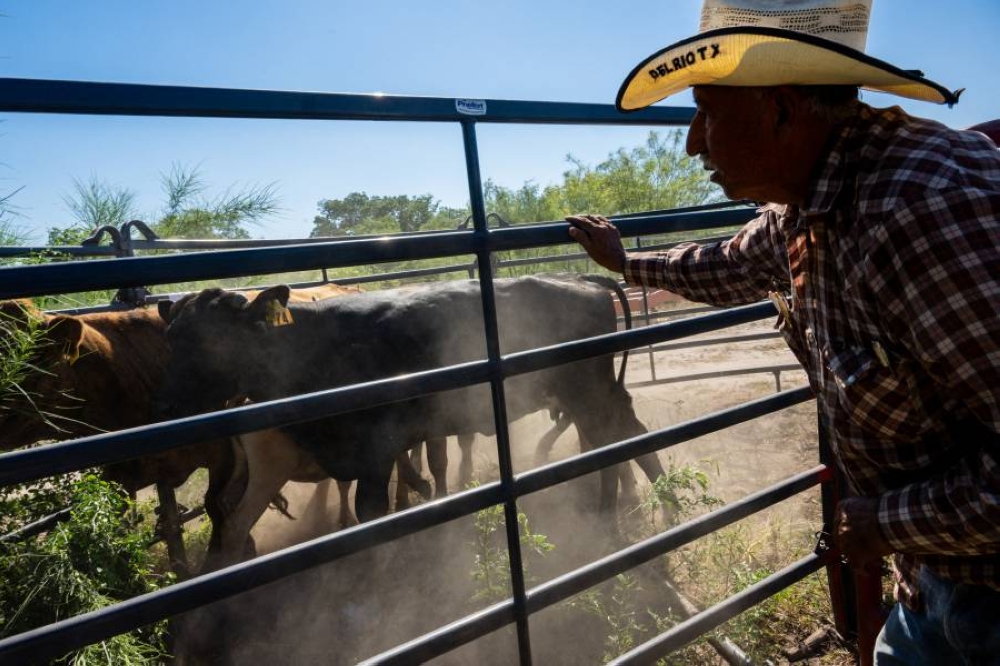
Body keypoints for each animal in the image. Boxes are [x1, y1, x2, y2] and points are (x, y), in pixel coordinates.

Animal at [158, 274, 664, 524]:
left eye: (213, 341)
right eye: (171, 336)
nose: (167, 410)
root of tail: (584, 283)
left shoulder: (376, 450)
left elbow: (372, 510)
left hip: (586, 389)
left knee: (615, 436)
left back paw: (623, 512)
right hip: (592, 391)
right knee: (622, 433)